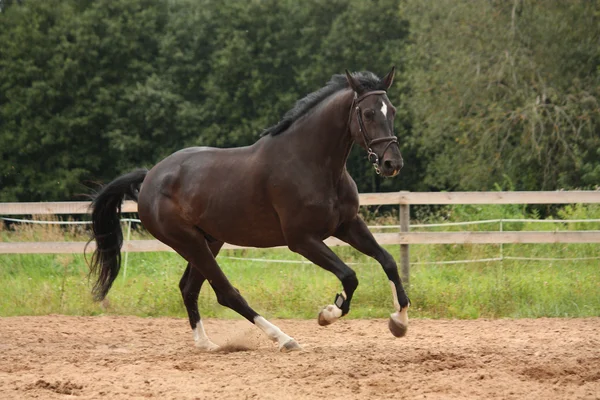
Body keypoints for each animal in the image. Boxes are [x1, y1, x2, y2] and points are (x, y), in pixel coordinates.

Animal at [86, 67, 410, 352]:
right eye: (368, 114)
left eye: (392, 111)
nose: (392, 163)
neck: (312, 164)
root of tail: (150, 176)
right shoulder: (302, 240)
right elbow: (349, 276)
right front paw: (328, 313)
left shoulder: (348, 224)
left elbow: (388, 261)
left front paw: (399, 322)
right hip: (189, 242)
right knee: (226, 293)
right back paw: (284, 340)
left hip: (209, 242)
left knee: (189, 288)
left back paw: (206, 345)